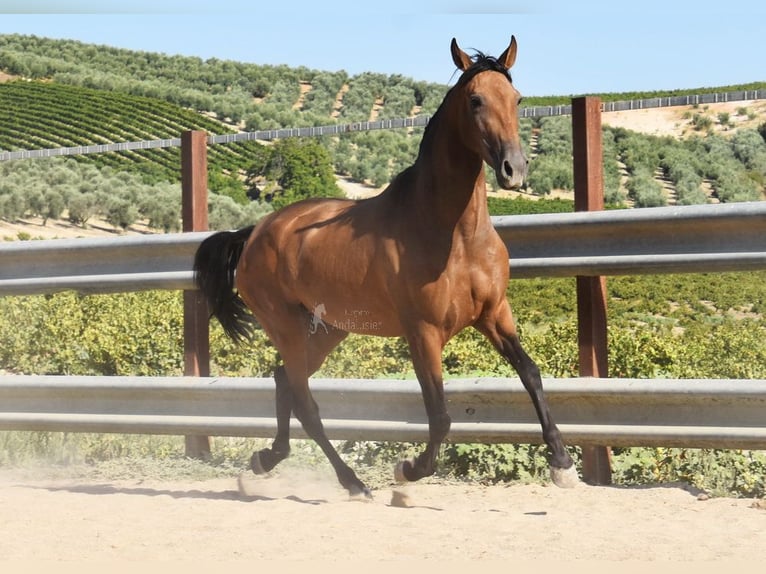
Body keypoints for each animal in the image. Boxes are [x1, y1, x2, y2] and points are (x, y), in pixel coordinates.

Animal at [194, 36, 584, 498]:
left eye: (517, 98)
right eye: (475, 100)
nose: (514, 169)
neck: (455, 236)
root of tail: (254, 233)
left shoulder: (494, 315)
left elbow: (531, 375)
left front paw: (562, 465)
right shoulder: (423, 333)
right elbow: (440, 415)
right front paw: (409, 469)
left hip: (326, 331)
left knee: (284, 381)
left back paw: (265, 460)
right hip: (286, 327)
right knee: (305, 401)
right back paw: (351, 482)